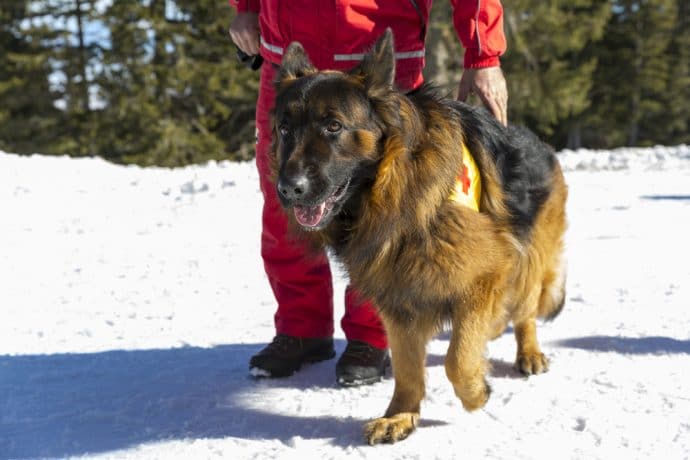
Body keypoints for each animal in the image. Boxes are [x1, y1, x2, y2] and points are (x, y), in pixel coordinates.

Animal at [272, 29, 568, 446]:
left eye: (333, 126)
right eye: (285, 129)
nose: (288, 189)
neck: (396, 186)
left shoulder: (485, 275)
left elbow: (457, 359)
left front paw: (476, 392)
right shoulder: (397, 294)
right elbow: (408, 366)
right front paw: (400, 415)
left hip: (528, 258)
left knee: (524, 312)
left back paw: (528, 352)